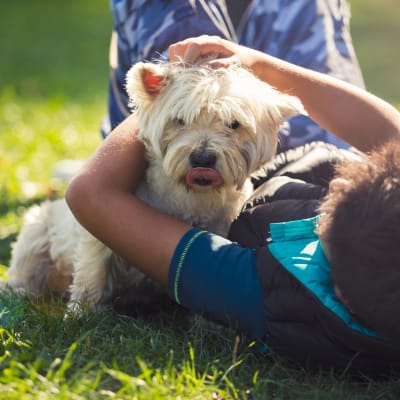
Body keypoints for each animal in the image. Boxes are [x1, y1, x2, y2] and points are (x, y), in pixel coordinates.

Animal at [3, 61, 304, 312]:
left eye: (234, 124)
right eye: (180, 120)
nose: (202, 158)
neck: (191, 195)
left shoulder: (221, 225)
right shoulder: (97, 227)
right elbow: (92, 269)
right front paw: (80, 313)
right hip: (37, 229)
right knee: (26, 271)